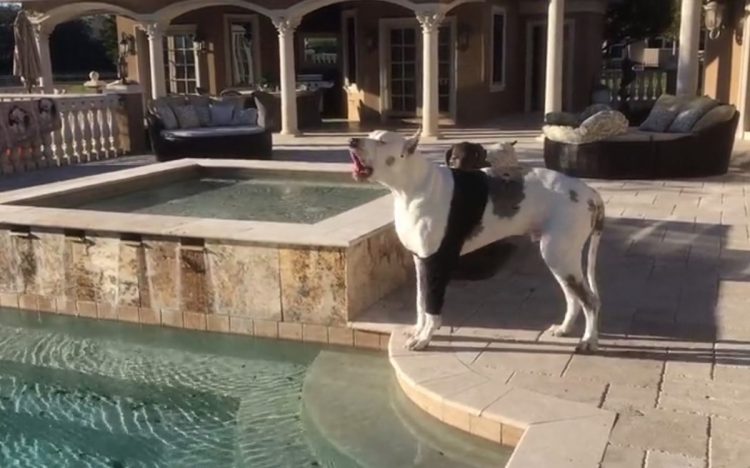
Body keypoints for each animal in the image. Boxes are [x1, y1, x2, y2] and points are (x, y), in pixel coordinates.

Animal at [350, 131, 608, 352]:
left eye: (382, 141)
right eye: (370, 135)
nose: (353, 140)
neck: (413, 187)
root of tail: (591, 194)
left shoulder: (437, 263)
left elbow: (432, 306)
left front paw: (425, 338)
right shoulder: (421, 261)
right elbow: (420, 302)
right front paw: (418, 330)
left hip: (559, 256)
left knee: (591, 300)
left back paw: (588, 341)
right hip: (559, 258)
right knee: (574, 298)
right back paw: (564, 329)